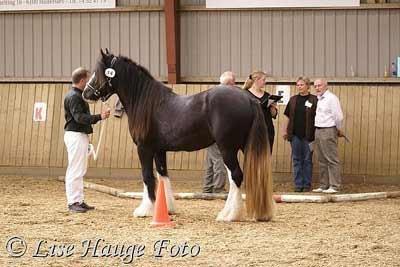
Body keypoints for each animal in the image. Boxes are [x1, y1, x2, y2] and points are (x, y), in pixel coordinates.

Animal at [83, 49, 274, 222]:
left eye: (98, 71)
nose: (86, 93)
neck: (148, 102)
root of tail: (249, 99)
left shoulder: (144, 149)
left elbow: (147, 177)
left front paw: (145, 210)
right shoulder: (159, 150)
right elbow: (162, 176)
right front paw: (167, 208)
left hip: (227, 148)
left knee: (236, 175)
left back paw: (228, 215)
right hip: (243, 147)